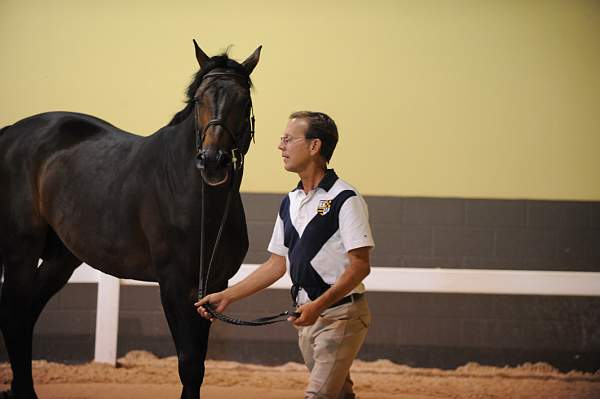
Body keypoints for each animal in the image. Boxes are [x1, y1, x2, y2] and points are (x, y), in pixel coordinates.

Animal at [0, 41, 260, 399]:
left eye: (244, 101)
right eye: (198, 100)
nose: (213, 161)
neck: (198, 199)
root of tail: (10, 132)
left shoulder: (214, 287)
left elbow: (198, 365)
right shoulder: (174, 284)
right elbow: (189, 363)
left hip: (61, 259)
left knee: (24, 316)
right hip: (20, 252)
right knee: (13, 316)